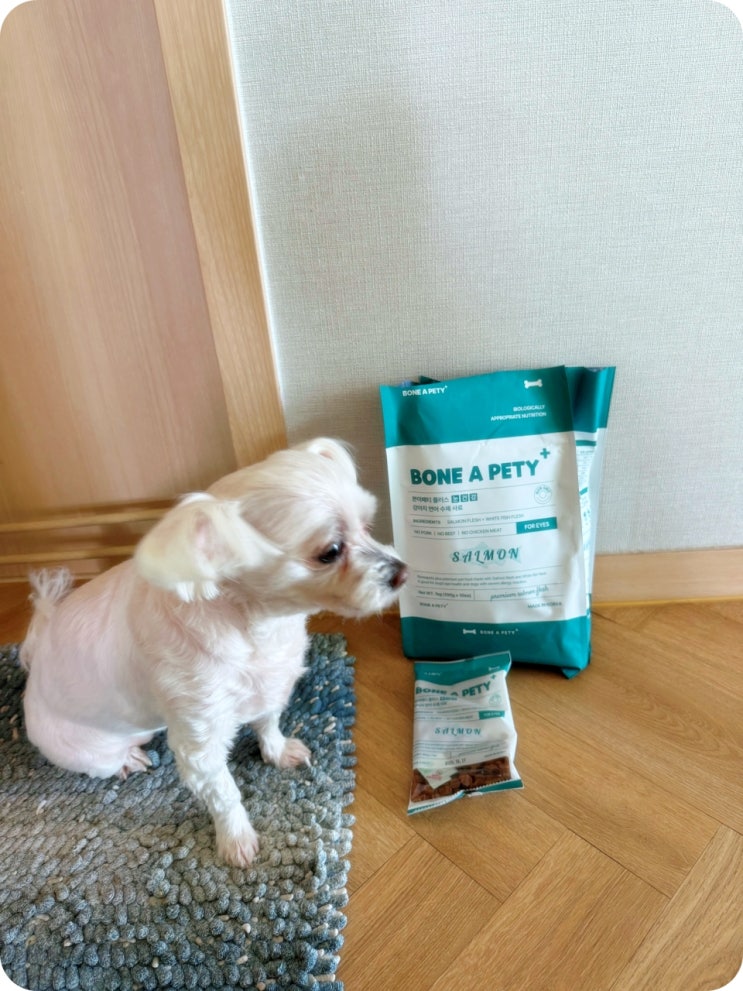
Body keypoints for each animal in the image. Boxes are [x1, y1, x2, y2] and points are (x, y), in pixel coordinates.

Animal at [20, 438, 406, 867]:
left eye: (367, 526)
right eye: (331, 551)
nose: (402, 572)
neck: (260, 626)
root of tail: (35, 667)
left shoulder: (270, 684)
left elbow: (268, 723)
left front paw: (276, 751)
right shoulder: (199, 742)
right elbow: (224, 795)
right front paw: (236, 839)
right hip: (87, 750)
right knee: (104, 762)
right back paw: (127, 760)